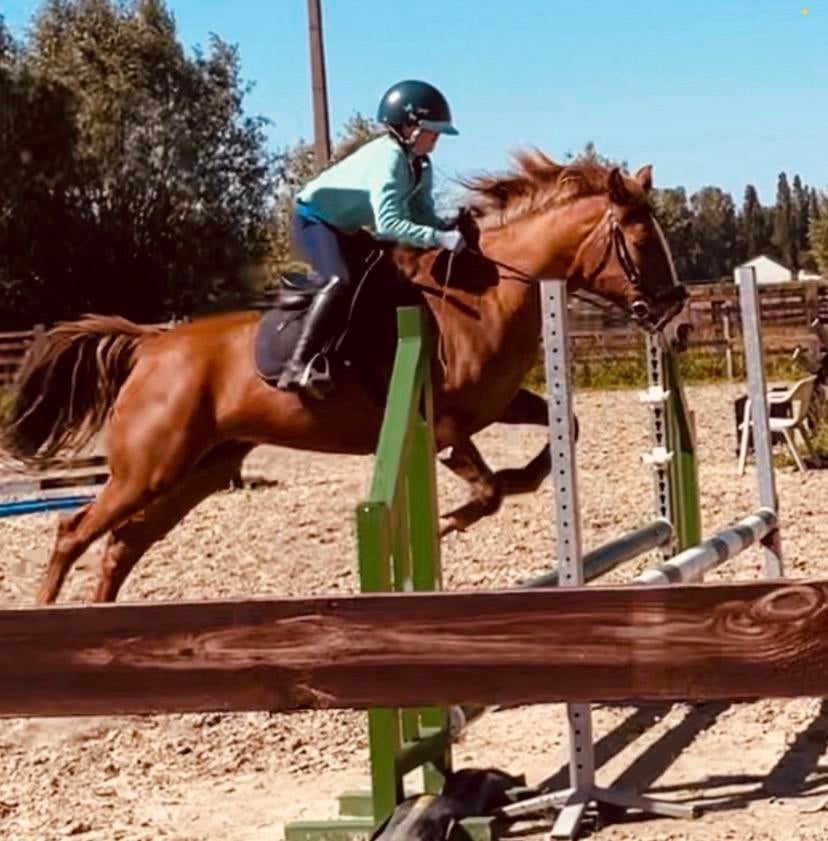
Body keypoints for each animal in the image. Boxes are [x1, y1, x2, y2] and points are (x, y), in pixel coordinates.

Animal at [1, 150, 688, 605]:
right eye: (641, 244)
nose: (678, 325)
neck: (488, 292)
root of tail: (151, 345)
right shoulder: (443, 424)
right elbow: (487, 490)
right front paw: (450, 519)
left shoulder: (497, 405)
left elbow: (559, 432)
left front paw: (522, 479)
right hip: (149, 469)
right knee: (73, 532)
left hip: (197, 472)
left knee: (123, 544)